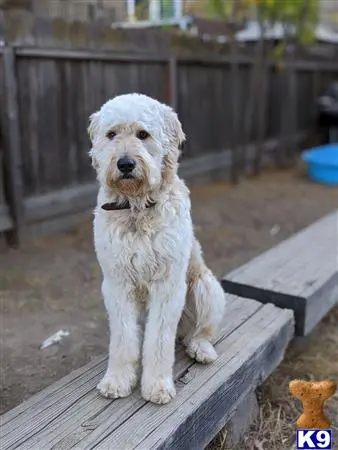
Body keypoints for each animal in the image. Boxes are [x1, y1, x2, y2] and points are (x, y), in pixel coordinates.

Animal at [89, 93, 227, 406]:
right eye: (111, 134)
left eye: (143, 134)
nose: (125, 164)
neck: (136, 206)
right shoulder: (117, 283)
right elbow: (124, 338)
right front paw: (117, 380)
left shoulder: (168, 284)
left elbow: (159, 340)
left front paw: (157, 385)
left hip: (206, 287)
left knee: (199, 332)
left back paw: (201, 349)